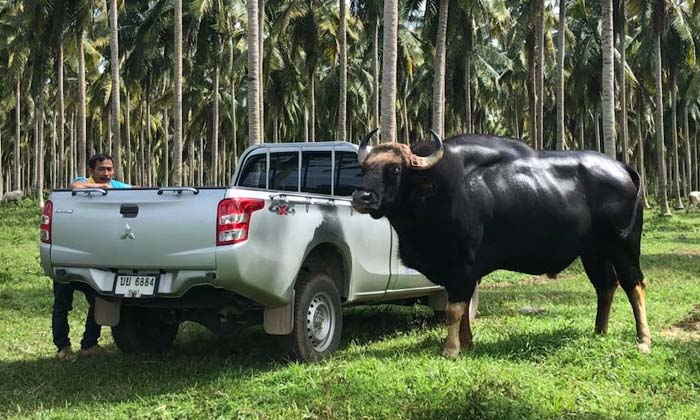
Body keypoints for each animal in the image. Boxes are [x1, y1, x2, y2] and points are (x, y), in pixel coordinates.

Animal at [352, 130, 648, 358]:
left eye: (394, 169)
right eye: (364, 169)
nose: (361, 197)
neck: (438, 191)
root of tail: (624, 168)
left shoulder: (462, 265)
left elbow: (454, 310)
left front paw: (450, 349)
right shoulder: (458, 271)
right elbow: (462, 310)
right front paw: (467, 344)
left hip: (624, 247)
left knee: (634, 284)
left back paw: (643, 340)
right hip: (593, 252)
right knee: (605, 286)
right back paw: (599, 331)